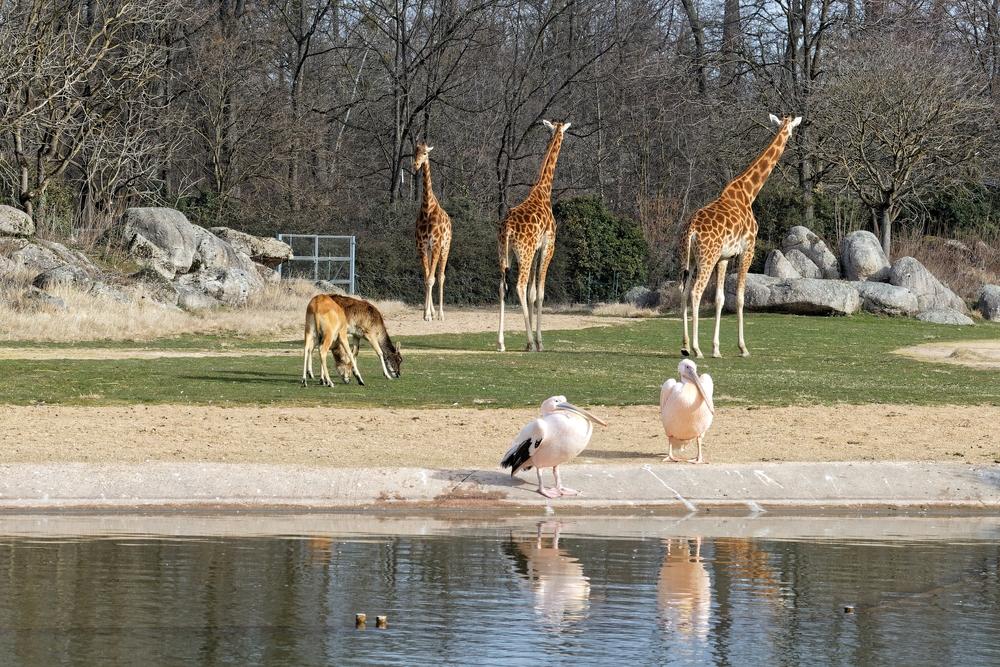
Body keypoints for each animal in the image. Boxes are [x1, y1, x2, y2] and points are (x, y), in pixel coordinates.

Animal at [498, 119, 572, 352]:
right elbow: (539, 291)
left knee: (502, 287)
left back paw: (501, 342)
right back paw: (531, 341)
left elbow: (532, 293)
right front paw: (538, 341)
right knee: (519, 286)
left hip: (505, 253)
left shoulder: (537, 248)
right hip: (525, 252)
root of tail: (507, 228)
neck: (543, 190)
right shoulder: (548, 246)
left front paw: (527, 341)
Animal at [676, 113, 800, 360]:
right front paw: (743, 348)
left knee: (683, 292)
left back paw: (685, 346)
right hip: (706, 258)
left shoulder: (724, 257)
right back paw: (696, 348)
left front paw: (716, 349)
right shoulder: (747, 249)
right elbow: (741, 297)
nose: (792, 138)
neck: (748, 193)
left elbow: (720, 299)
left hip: (689, 258)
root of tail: (691, 230)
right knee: (695, 292)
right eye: (792, 128)